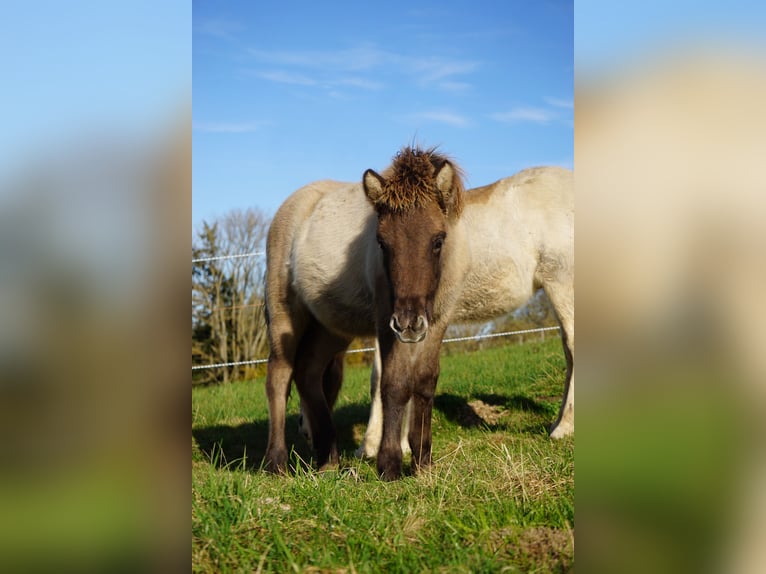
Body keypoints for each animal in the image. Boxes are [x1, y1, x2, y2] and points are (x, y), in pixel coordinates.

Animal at [268, 146, 572, 480]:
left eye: (438, 241)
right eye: (382, 243)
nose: (304, 431)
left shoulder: (417, 321)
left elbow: (403, 379)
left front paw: (393, 452)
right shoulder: (392, 320)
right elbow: (393, 379)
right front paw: (392, 453)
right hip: (300, 315)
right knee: (288, 373)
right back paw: (291, 461)